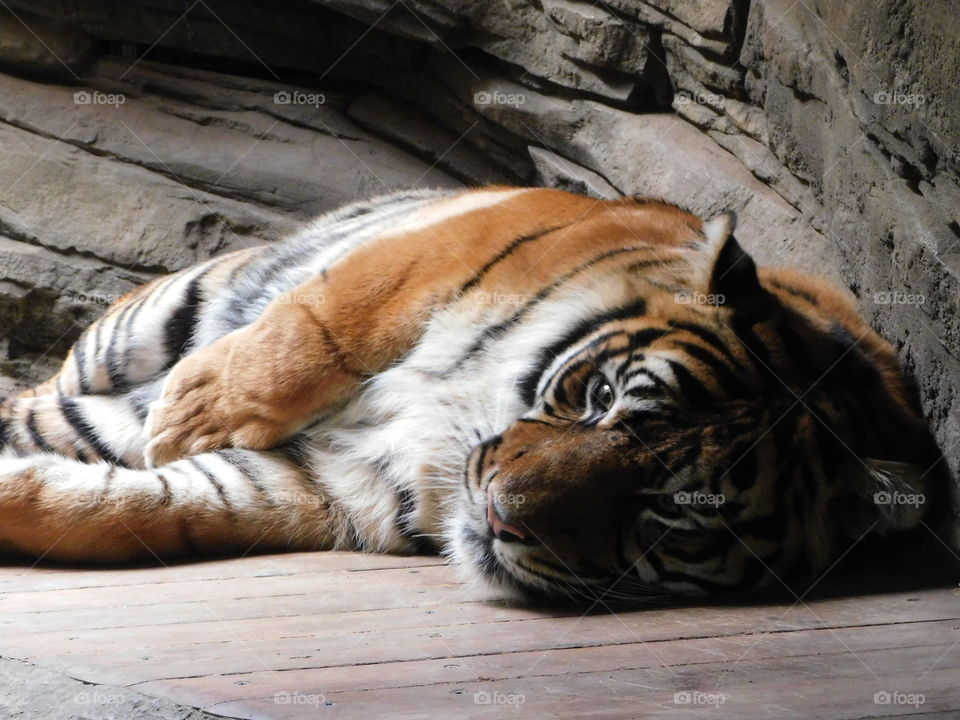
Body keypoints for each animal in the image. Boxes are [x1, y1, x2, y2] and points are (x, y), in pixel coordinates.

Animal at [0, 186, 947, 602]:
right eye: (602, 396)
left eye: (673, 513)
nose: (497, 514)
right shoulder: (439, 256)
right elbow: (324, 321)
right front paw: (196, 413)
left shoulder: (330, 483)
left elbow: (152, 505)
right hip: (145, 329)